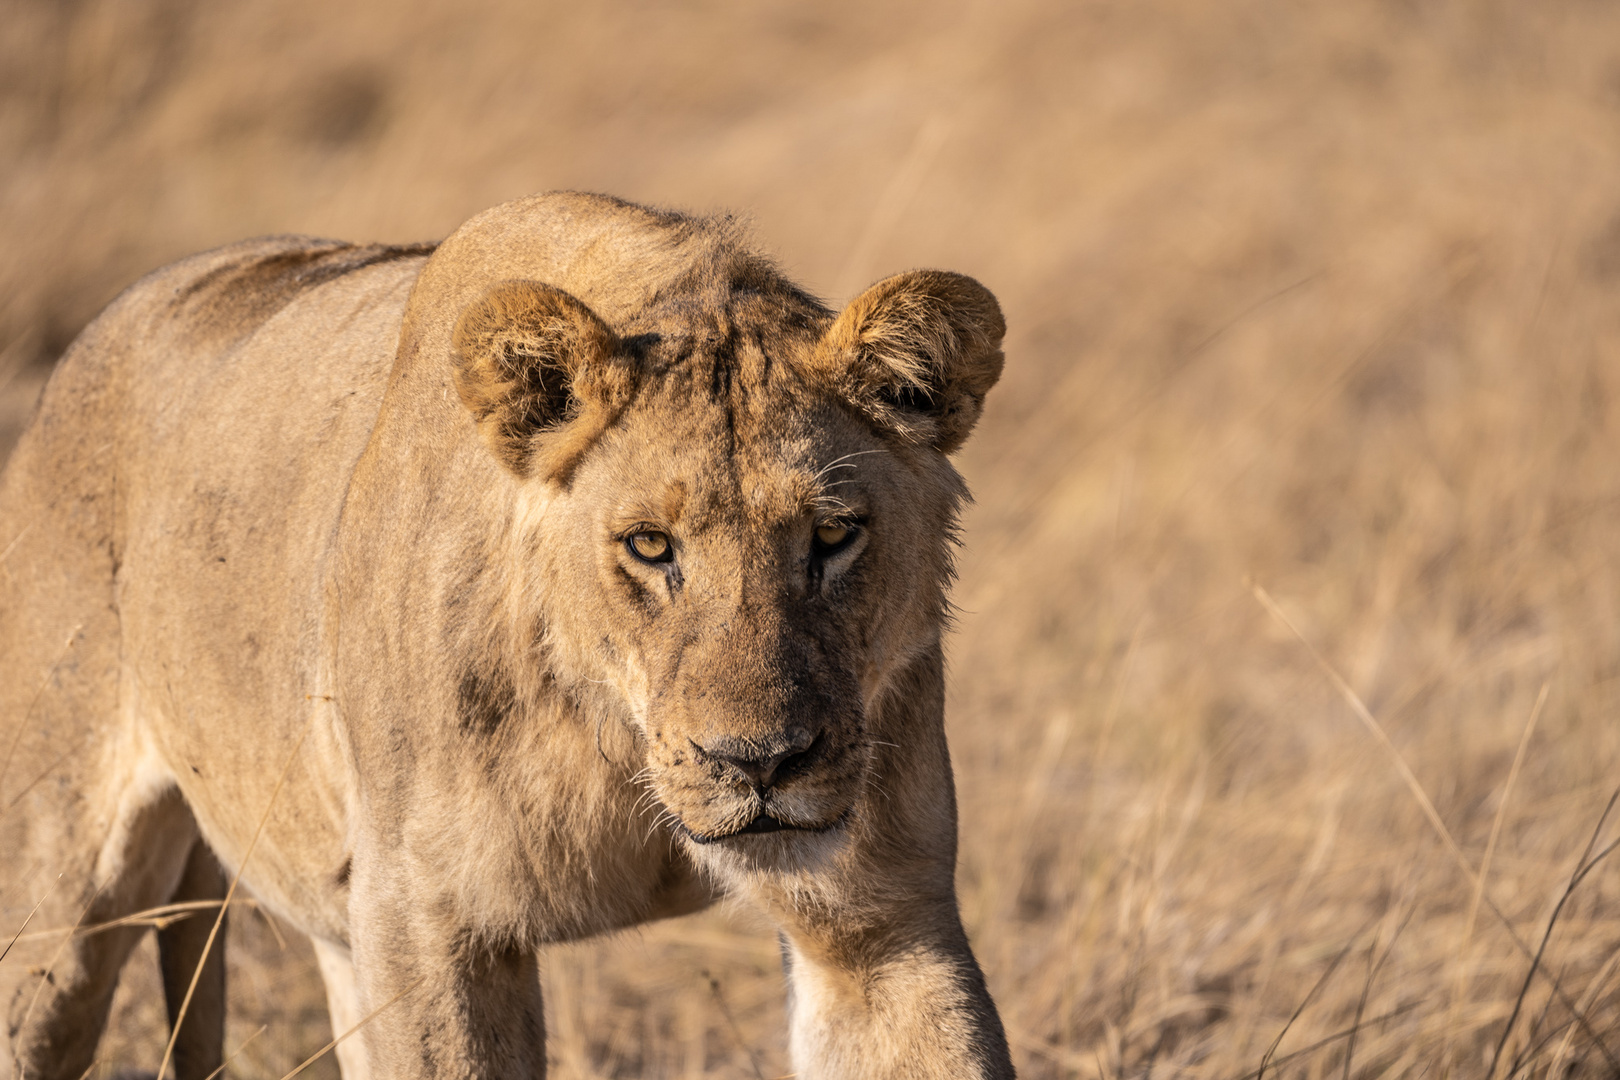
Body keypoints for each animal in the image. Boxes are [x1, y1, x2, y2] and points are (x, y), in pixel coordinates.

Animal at [0, 194, 1010, 1080]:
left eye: (833, 536)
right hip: (57, 908)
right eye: (651, 545)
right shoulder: (423, 919)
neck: (615, 738)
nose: (761, 764)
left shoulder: (880, 918)